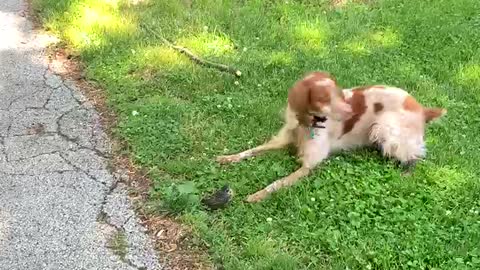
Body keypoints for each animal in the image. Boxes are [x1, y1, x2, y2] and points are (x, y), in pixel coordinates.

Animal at [218, 71, 446, 202]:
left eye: (338, 93)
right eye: (323, 98)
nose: (350, 112)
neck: (306, 125)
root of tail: (423, 109)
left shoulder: (308, 166)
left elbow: (276, 183)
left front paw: (256, 195)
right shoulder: (281, 140)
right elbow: (251, 150)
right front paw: (227, 158)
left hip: (385, 129)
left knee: (414, 157)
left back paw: (405, 174)